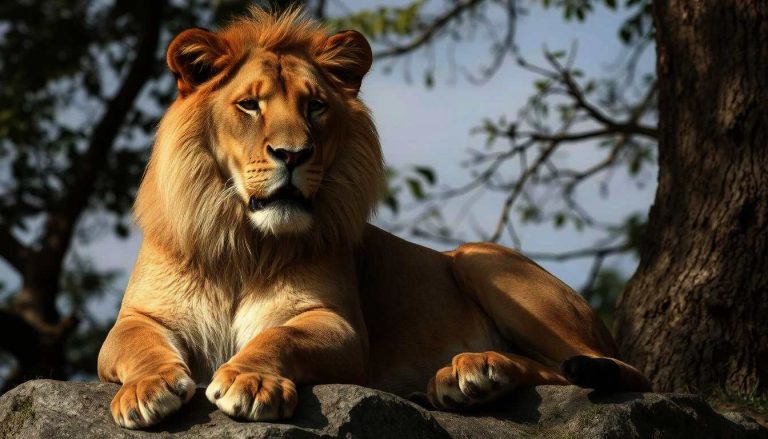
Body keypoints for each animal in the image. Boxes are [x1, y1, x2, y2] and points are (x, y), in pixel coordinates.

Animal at [97, 7, 651, 429]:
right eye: (249, 105)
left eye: (316, 107)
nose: (293, 154)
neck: (244, 242)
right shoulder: (138, 318)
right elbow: (135, 343)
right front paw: (147, 389)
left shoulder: (338, 324)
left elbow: (279, 335)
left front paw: (249, 380)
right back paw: (463, 380)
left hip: (482, 259)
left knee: (610, 371)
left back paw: (477, 370)